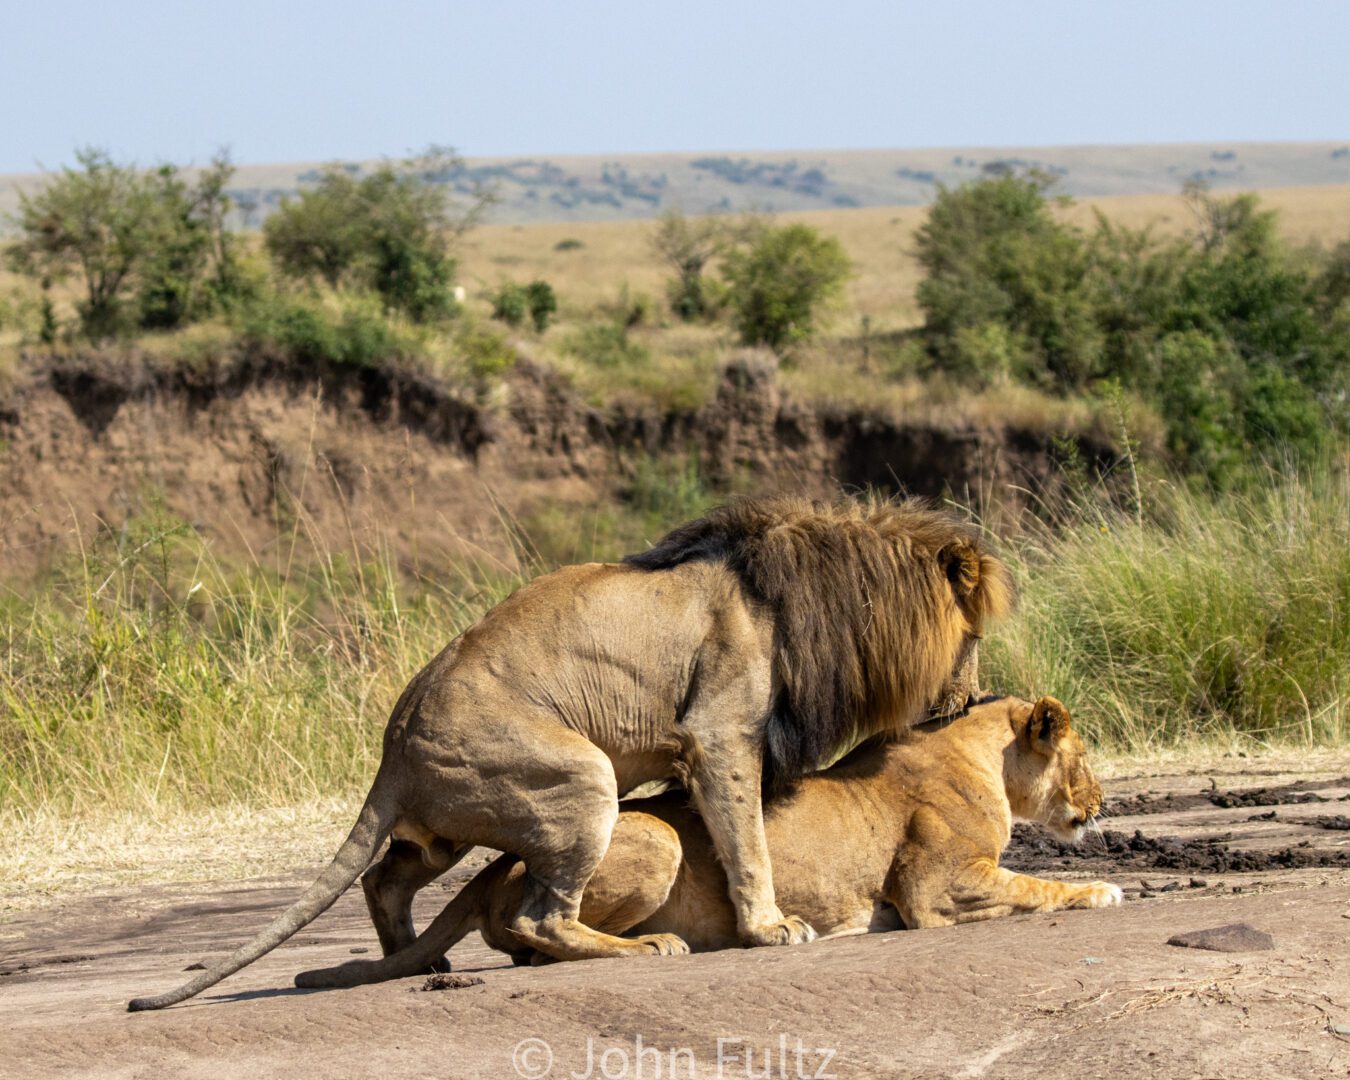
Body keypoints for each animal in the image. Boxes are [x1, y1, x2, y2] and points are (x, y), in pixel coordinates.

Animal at [128, 494, 1015, 1009]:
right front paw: (769, 928)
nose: (969, 701)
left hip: (452, 821)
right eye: (972, 637)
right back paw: (643, 946)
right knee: (542, 915)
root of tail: (395, 742)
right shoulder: (721, 730)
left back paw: (414, 964)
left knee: (387, 877)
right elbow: (748, 841)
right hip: (578, 778)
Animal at [301, 691, 1123, 988]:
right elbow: (1034, 886)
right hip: (655, 839)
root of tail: (496, 864)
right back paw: (653, 947)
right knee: (539, 926)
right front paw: (1106, 888)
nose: (1102, 801)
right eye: (1083, 756)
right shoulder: (932, 888)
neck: (983, 755)